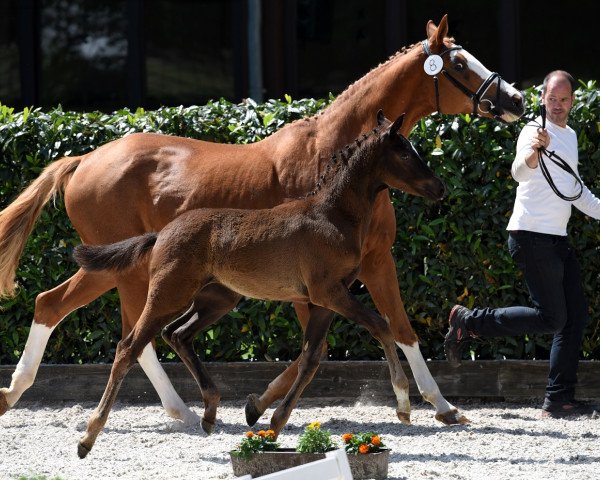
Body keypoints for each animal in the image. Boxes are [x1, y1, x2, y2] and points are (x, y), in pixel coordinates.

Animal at [72, 111, 446, 458]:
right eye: (405, 153)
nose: (439, 187)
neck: (331, 215)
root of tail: (161, 233)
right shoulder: (330, 292)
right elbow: (382, 327)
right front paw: (403, 406)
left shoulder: (322, 301)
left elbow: (311, 359)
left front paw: (272, 423)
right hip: (169, 293)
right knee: (129, 347)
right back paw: (88, 437)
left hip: (215, 298)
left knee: (177, 334)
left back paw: (209, 413)